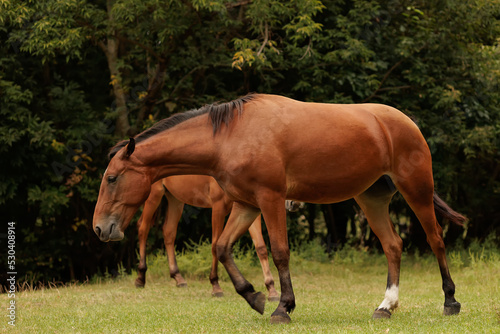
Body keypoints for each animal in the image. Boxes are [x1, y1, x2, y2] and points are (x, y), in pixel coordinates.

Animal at [134, 175, 278, 300]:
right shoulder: (218, 206)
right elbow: (215, 246)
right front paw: (216, 286)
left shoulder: (249, 207)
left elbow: (261, 247)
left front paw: (272, 290)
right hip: (154, 194)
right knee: (143, 228)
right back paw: (140, 278)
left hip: (175, 198)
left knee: (169, 231)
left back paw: (178, 278)